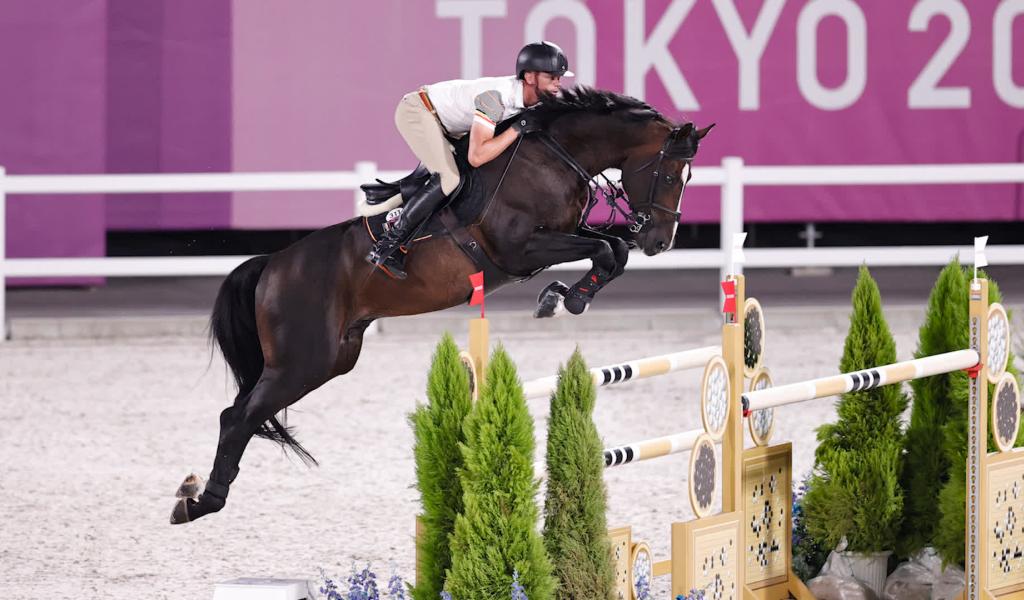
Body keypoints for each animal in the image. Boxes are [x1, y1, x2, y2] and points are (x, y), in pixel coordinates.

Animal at [169, 86, 712, 520]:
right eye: (670, 175)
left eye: (687, 178)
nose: (660, 242)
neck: (558, 155)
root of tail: (273, 265)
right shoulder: (519, 248)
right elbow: (606, 249)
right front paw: (568, 298)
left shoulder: (562, 235)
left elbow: (612, 249)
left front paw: (560, 297)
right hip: (302, 361)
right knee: (237, 417)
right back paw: (200, 504)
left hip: (330, 360)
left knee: (242, 412)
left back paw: (197, 495)